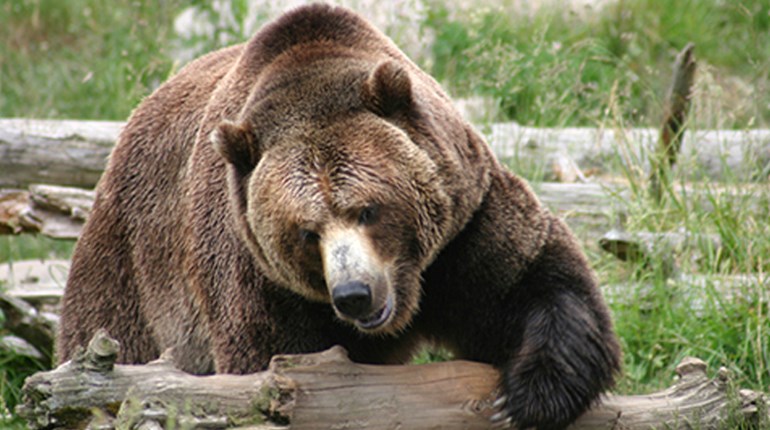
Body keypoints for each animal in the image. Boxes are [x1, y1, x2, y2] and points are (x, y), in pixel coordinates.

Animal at [57, 4, 621, 429]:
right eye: (307, 232)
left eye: (368, 209)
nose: (355, 294)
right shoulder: (261, 279)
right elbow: (272, 365)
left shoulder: (462, 226)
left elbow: (534, 282)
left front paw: (523, 397)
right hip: (131, 265)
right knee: (111, 336)